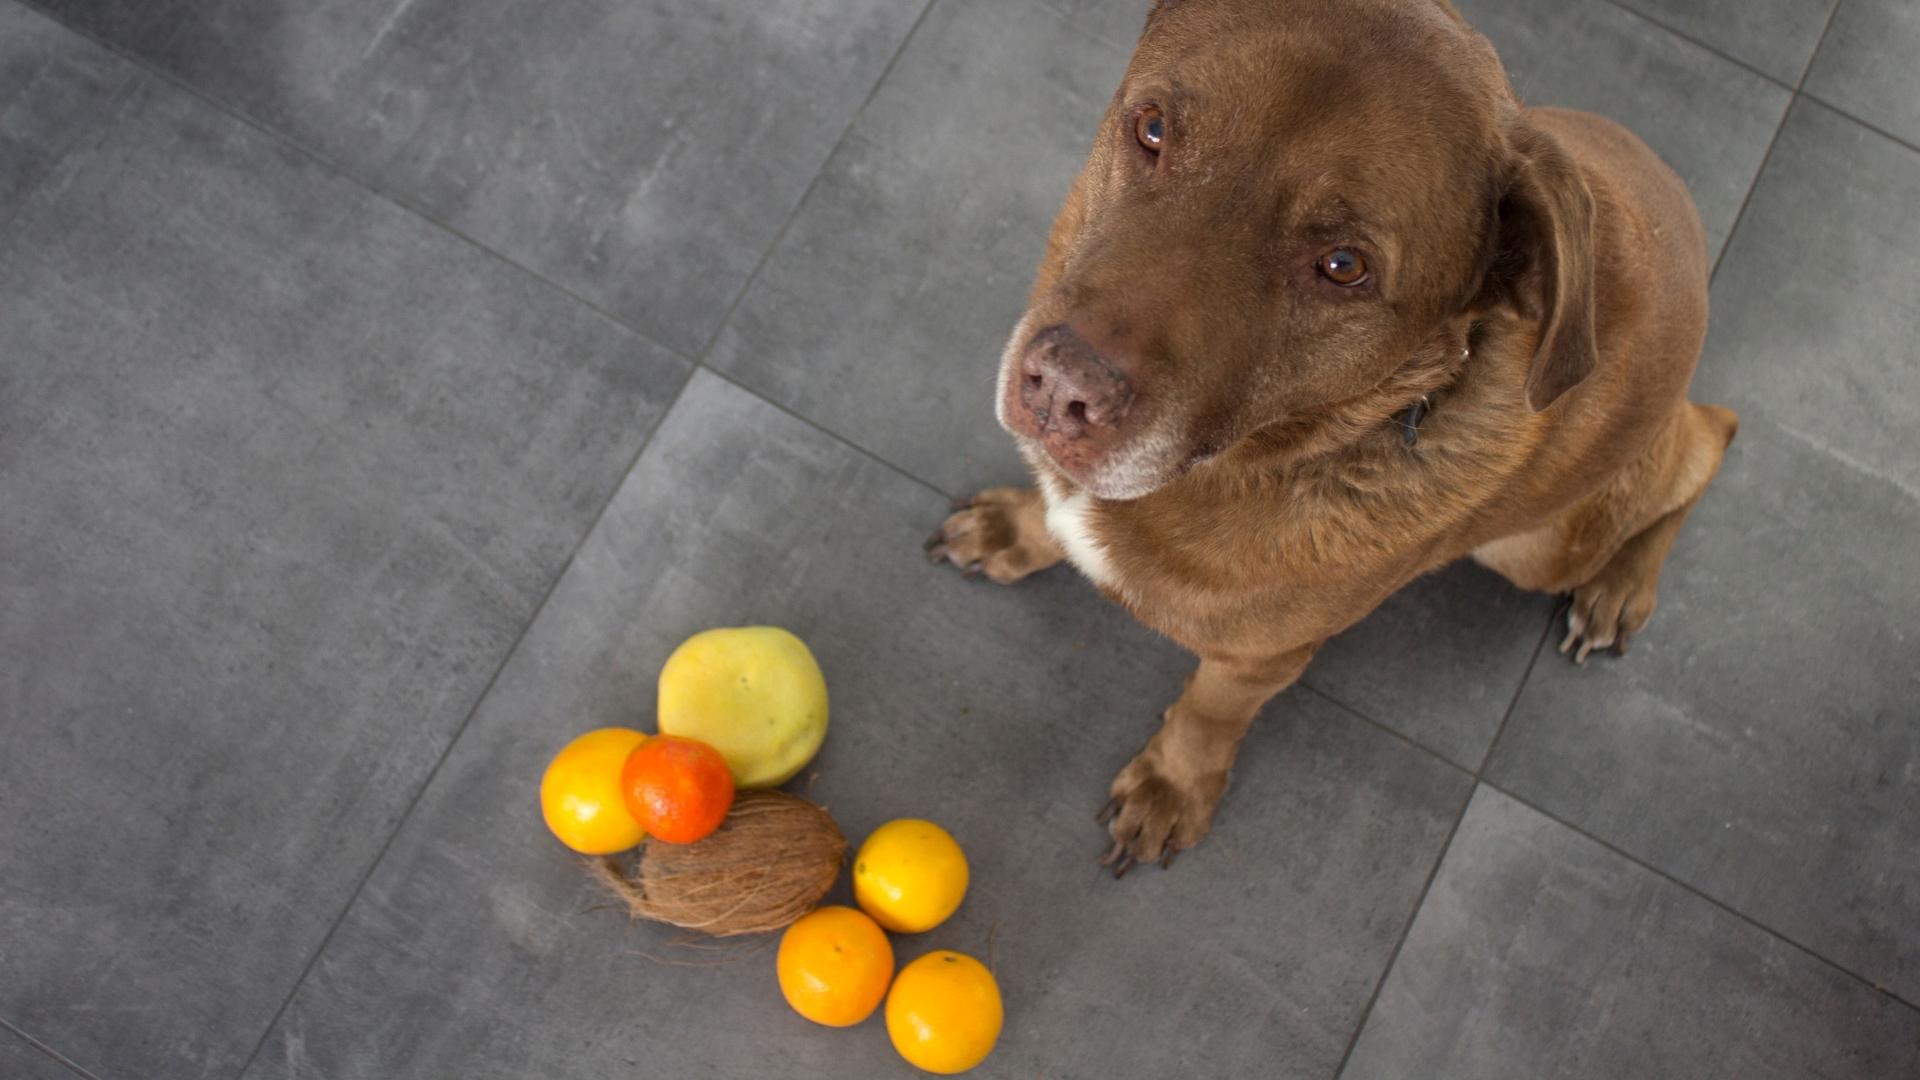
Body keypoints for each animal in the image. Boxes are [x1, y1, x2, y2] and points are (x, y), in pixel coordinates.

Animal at [929, 0, 1743, 868]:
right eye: (1151, 130)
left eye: (1343, 265)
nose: (1061, 391)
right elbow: (1052, 511)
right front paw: (1015, 528)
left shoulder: (1259, 659)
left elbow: (1209, 712)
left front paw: (1173, 786)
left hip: (1540, 546)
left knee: (1707, 439)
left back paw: (1620, 586)